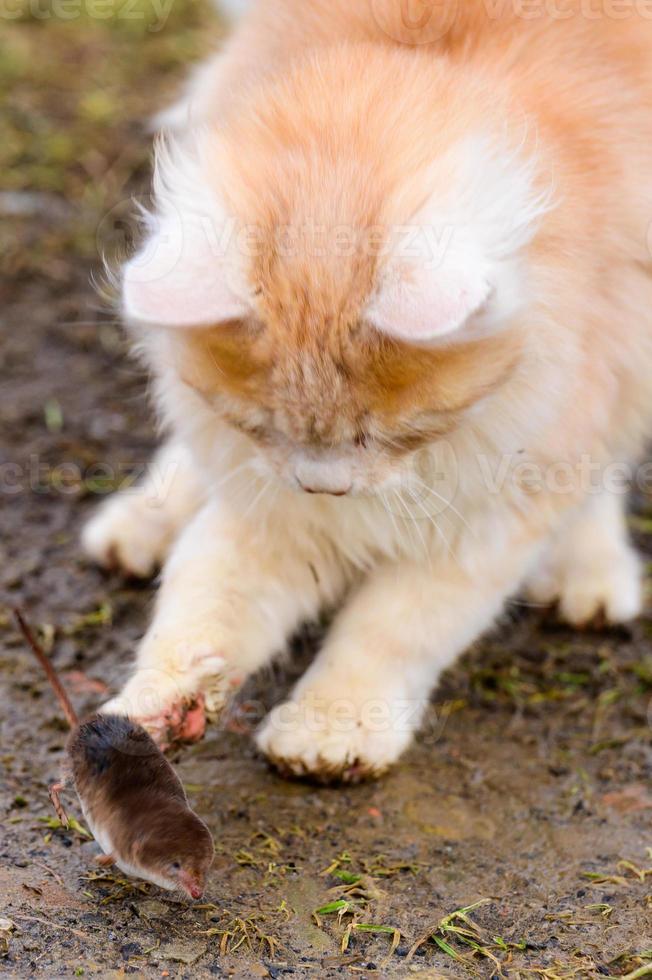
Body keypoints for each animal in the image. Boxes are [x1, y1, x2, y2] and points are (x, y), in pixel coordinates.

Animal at [84, 1, 648, 780]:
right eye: (263, 427)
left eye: (385, 432)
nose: (326, 487)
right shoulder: (266, 501)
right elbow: (208, 598)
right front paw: (162, 701)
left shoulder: (492, 510)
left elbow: (393, 626)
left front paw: (334, 727)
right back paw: (144, 522)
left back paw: (588, 572)